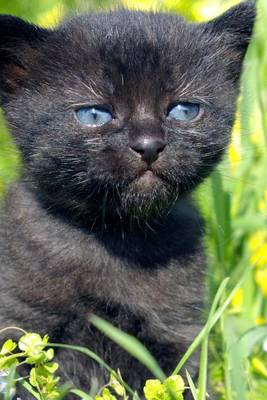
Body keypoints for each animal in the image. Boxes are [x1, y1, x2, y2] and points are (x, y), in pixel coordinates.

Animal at [0, 2, 255, 396]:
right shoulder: (20, 320)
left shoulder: (177, 328)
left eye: (183, 110)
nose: (149, 145)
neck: (115, 235)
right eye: (94, 114)